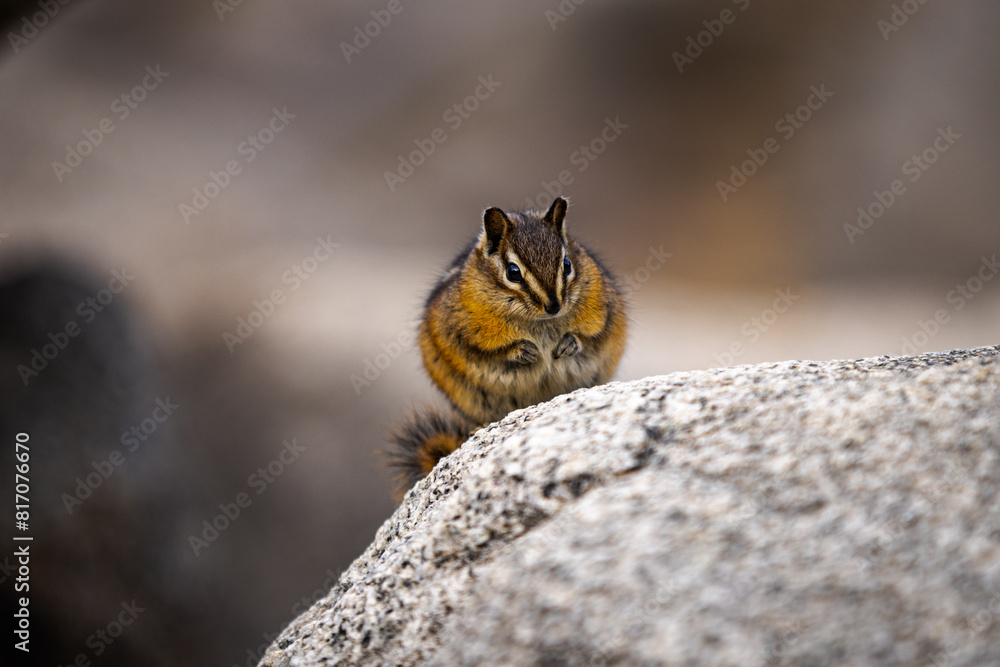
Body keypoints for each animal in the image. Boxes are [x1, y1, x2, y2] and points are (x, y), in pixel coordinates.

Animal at [389, 196, 628, 495]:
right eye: (513, 272)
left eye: (567, 264)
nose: (554, 306)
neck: (540, 323)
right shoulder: (458, 329)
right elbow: (483, 350)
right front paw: (523, 351)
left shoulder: (604, 311)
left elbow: (593, 335)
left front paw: (569, 344)